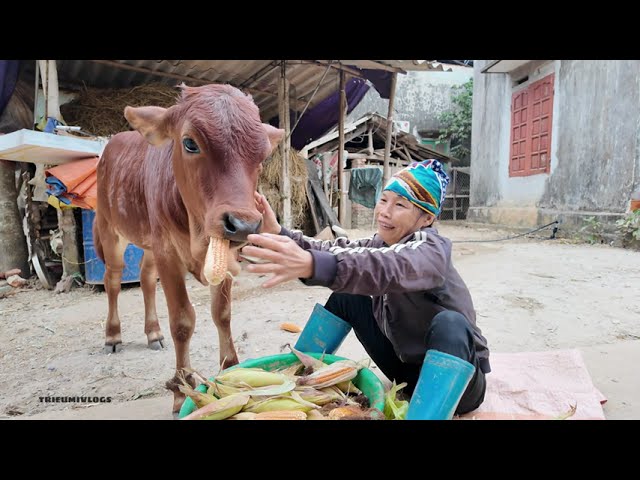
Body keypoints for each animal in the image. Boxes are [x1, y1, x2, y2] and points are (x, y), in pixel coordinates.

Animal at [93, 82, 282, 412]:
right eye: (190, 143)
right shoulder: (168, 253)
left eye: (263, 155)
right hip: (110, 229)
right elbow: (182, 321)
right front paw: (182, 390)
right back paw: (112, 336)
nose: (243, 225)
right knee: (113, 280)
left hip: (149, 243)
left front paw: (230, 369)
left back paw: (153, 333)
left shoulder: (218, 255)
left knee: (145, 278)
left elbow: (222, 313)